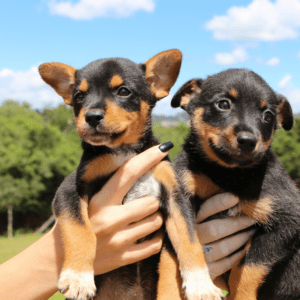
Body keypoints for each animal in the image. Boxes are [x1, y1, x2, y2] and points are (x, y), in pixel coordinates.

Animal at [38, 50, 224, 300]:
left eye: (123, 91)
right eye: (79, 96)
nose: (91, 116)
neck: (124, 152)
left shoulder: (175, 198)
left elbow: (189, 242)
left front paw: (201, 284)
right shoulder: (69, 190)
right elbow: (81, 231)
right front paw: (78, 278)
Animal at [170, 68, 300, 300]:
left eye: (268, 116)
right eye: (223, 104)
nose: (248, 141)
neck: (228, 174)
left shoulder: (289, 219)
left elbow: (248, 266)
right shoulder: (180, 197)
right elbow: (188, 241)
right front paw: (200, 285)